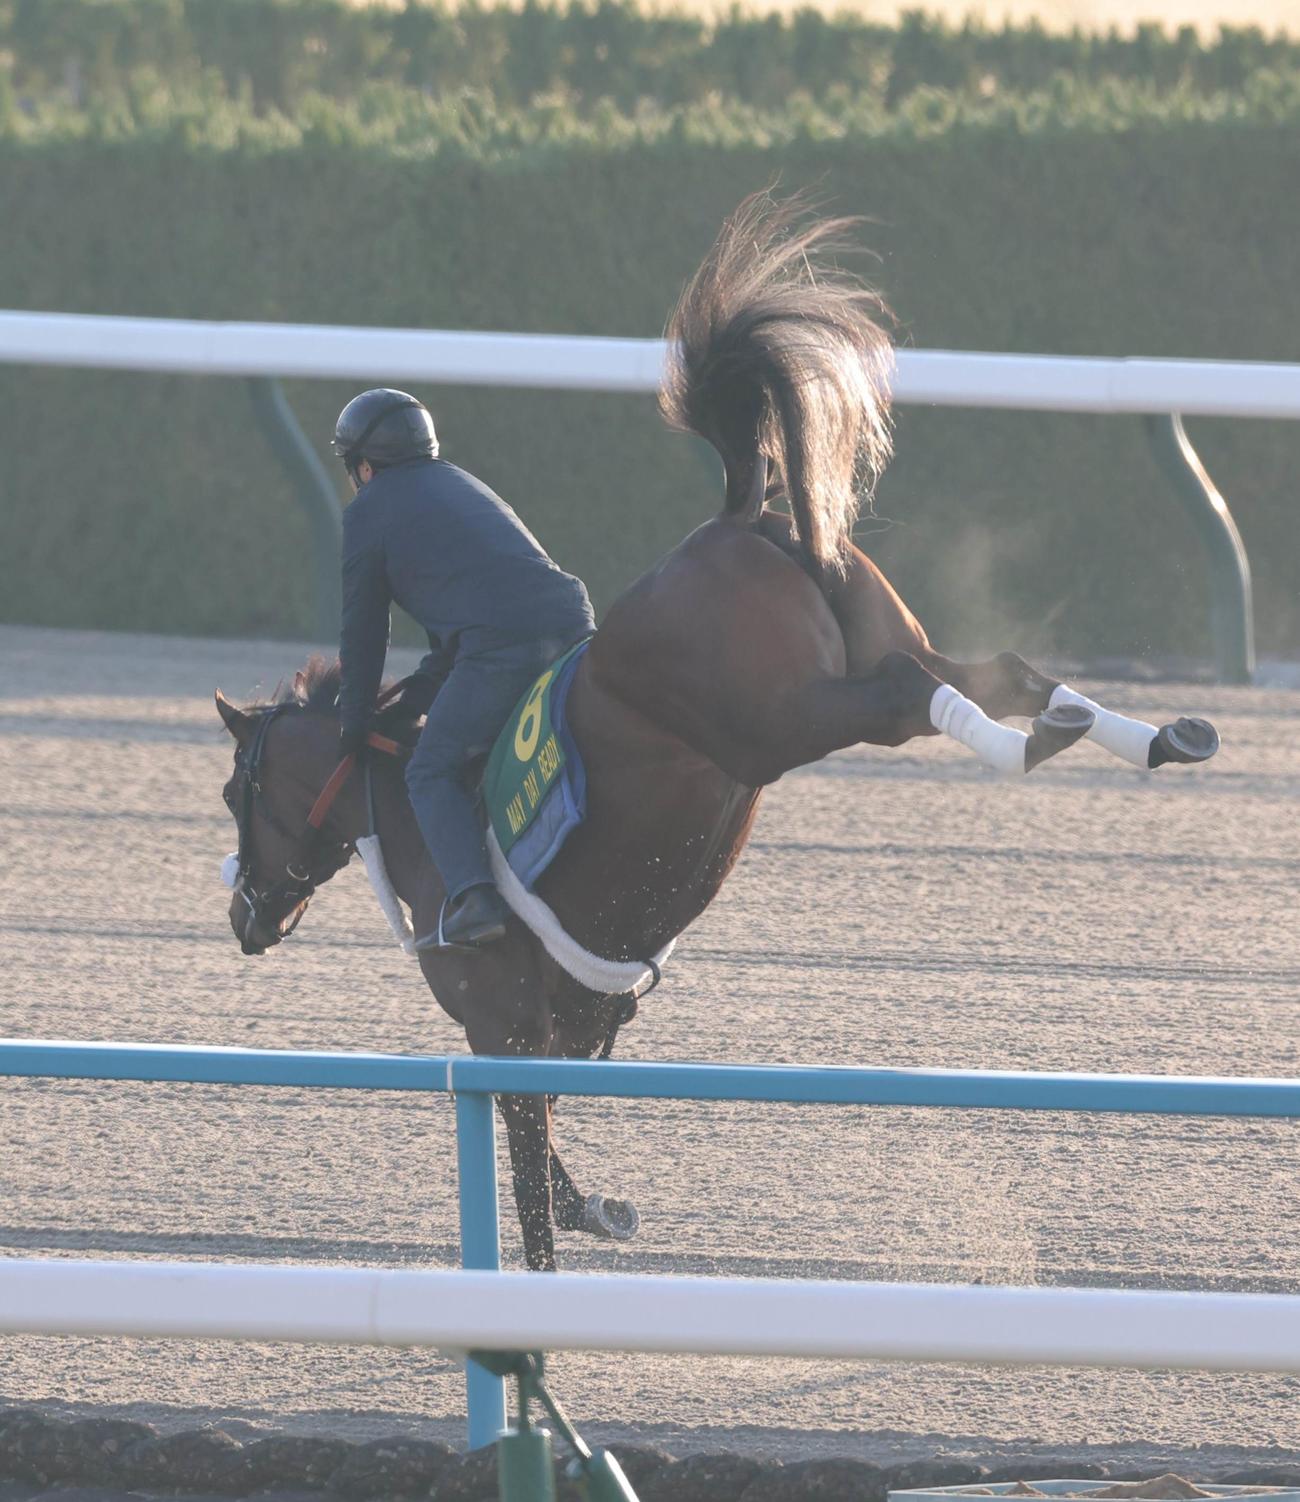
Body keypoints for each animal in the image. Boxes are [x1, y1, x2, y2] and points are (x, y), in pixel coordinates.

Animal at [215, 193, 1218, 1273]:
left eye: (235, 793)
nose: (243, 916)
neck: (401, 810)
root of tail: (736, 518)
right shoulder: (566, 1024)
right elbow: (553, 1164)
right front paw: (602, 1208)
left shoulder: (501, 1025)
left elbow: (530, 1189)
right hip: (857, 643)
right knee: (994, 671)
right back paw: (1142, 733)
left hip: (775, 722)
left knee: (909, 692)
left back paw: (1040, 743)